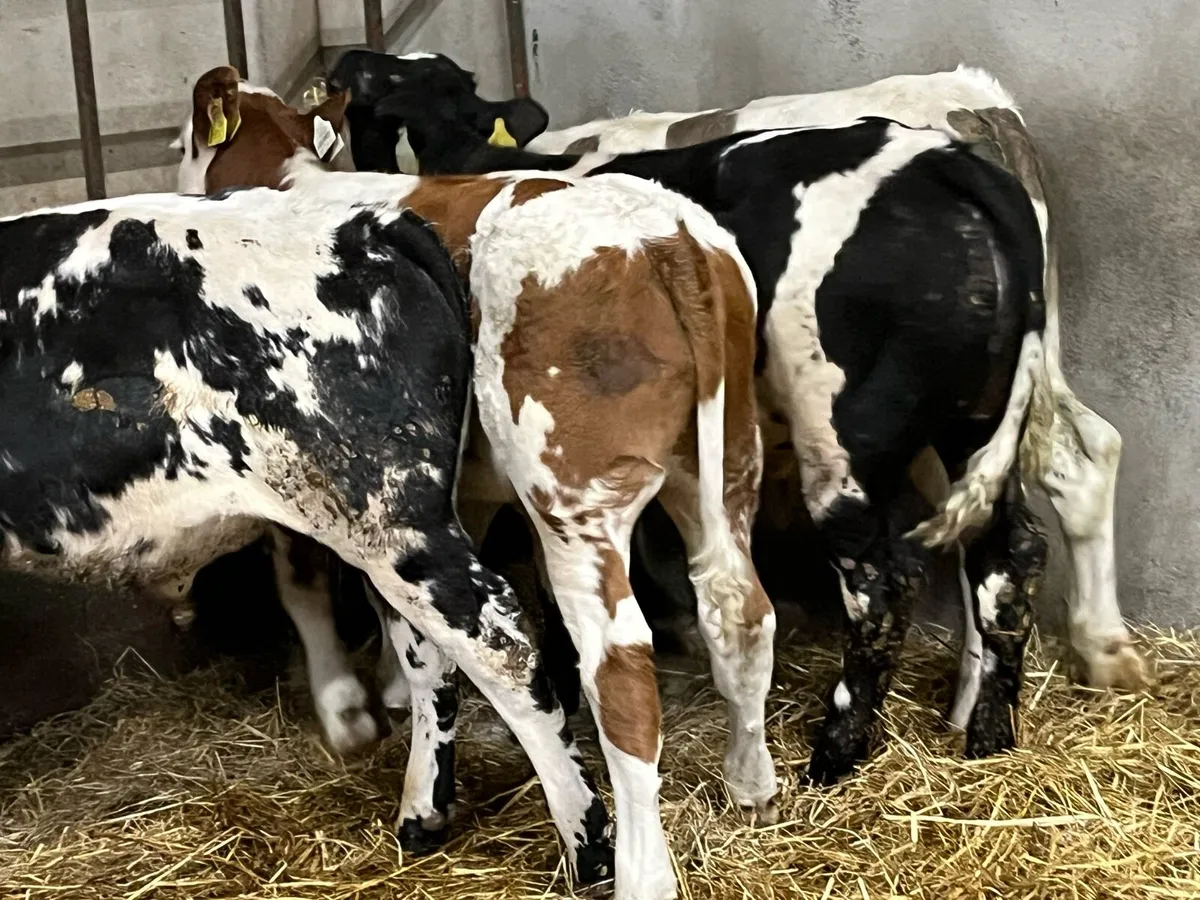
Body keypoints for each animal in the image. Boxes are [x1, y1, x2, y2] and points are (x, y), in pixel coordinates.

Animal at [170, 66, 776, 900]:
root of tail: (662, 234)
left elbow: (331, 600)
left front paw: (356, 720)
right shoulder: (456, 495)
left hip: (573, 507)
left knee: (620, 673)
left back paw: (639, 871)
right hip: (727, 465)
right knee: (743, 612)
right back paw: (752, 780)